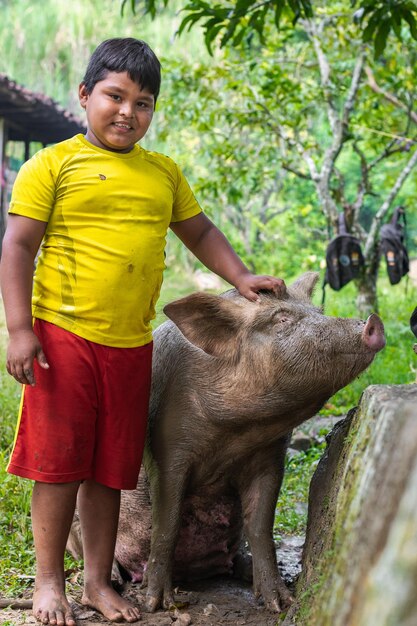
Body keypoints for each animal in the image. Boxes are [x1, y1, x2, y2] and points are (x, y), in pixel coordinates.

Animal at [67, 272, 384, 608]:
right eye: (281, 318)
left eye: (320, 311)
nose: (373, 322)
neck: (236, 433)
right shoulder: (168, 448)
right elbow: (167, 520)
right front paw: (157, 604)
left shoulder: (271, 454)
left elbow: (260, 524)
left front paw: (279, 602)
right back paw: (116, 580)